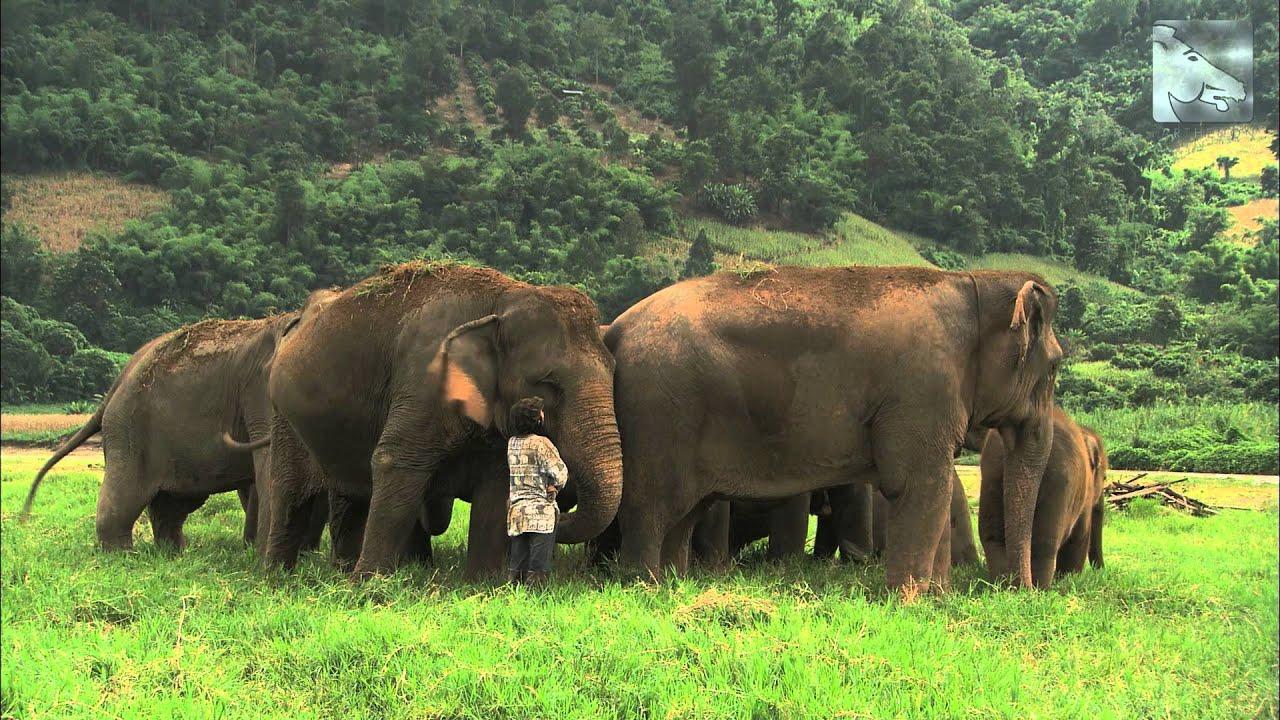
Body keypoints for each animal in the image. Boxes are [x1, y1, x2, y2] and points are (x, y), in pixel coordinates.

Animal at [22, 300, 330, 552]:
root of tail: (120, 378)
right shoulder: (260, 393)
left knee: (175, 502)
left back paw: (174, 553)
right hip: (130, 428)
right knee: (125, 497)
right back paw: (124, 556)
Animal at [260, 262, 623, 578]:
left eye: (613, 370)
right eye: (548, 382)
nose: (557, 501)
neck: (502, 298)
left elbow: (494, 487)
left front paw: (481, 584)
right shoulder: (422, 378)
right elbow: (395, 462)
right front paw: (369, 589)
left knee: (351, 499)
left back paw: (339, 572)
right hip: (284, 419)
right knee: (290, 497)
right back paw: (278, 578)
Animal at [604, 266, 1062, 591]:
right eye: (1057, 365)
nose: (1020, 591)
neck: (974, 282)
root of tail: (617, 329)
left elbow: (932, 487)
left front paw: (937, 596)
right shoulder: (924, 391)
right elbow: (918, 485)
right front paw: (909, 601)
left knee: (684, 515)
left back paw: (671, 584)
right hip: (659, 413)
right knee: (652, 508)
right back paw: (642, 586)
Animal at [979, 407, 1107, 586]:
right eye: (1105, 478)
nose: (1102, 571)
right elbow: (1081, 534)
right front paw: (1069, 579)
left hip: (992, 475)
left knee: (993, 537)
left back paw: (1002, 584)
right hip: (1059, 480)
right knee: (1045, 542)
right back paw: (1041, 587)